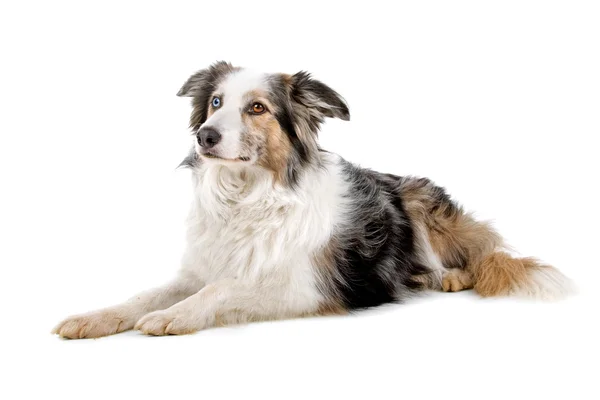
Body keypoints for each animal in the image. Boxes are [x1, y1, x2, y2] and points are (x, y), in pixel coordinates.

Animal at [51, 61, 572, 338]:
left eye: (257, 108)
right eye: (216, 103)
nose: (205, 135)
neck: (246, 196)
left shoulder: (305, 286)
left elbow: (221, 290)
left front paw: (171, 317)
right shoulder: (200, 269)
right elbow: (145, 294)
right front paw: (92, 318)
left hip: (416, 202)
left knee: (477, 256)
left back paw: (447, 276)